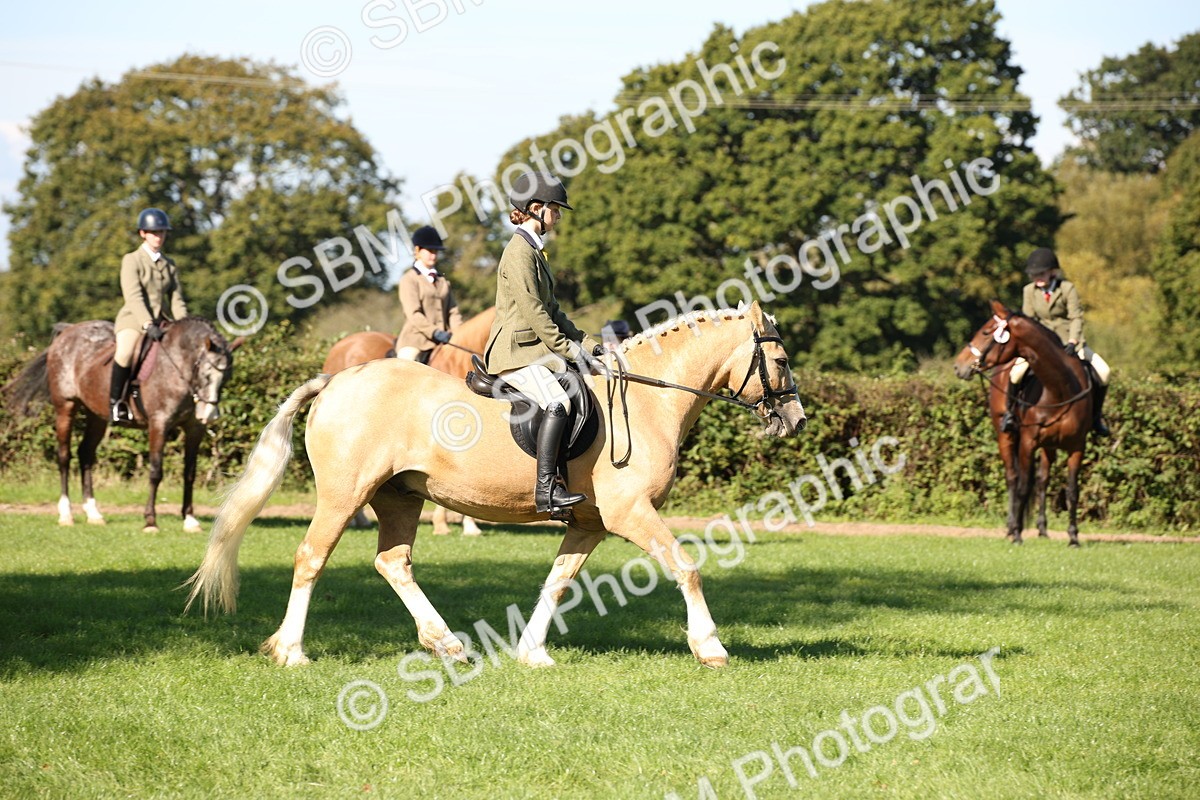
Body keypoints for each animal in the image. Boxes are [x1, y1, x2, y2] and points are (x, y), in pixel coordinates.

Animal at [4, 318, 240, 533]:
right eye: (206, 373)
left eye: (227, 376)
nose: (209, 414)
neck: (176, 366)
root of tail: (68, 331)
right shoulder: (159, 424)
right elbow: (156, 472)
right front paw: (150, 521)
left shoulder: (194, 429)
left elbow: (189, 473)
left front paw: (190, 520)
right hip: (65, 407)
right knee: (64, 456)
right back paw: (66, 514)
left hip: (96, 416)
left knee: (85, 454)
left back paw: (93, 513)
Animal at [953, 300, 1096, 546]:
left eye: (985, 332)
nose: (958, 366)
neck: (1060, 387)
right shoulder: (1028, 443)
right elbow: (1022, 486)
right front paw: (1018, 534)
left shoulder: (1077, 446)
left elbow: (1072, 491)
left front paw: (1073, 537)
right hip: (1006, 436)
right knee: (1013, 477)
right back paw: (1012, 527)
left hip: (1049, 446)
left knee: (1042, 480)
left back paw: (1042, 529)